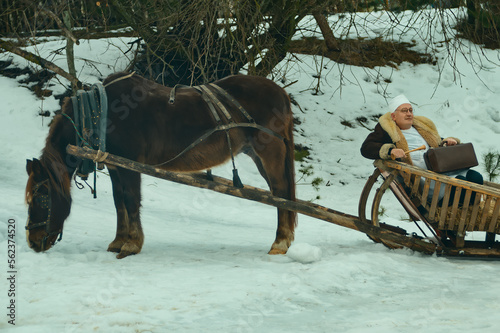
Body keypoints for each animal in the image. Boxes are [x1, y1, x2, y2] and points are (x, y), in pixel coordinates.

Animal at [24, 73, 296, 260]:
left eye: (42, 196)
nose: (33, 242)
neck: (104, 113)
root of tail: (281, 92)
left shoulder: (129, 166)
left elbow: (131, 201)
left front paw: (132, 244)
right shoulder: (115, 167)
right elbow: (118, 202)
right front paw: (118, 241)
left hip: (269, 151)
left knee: (281, 193)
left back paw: (280, 243)